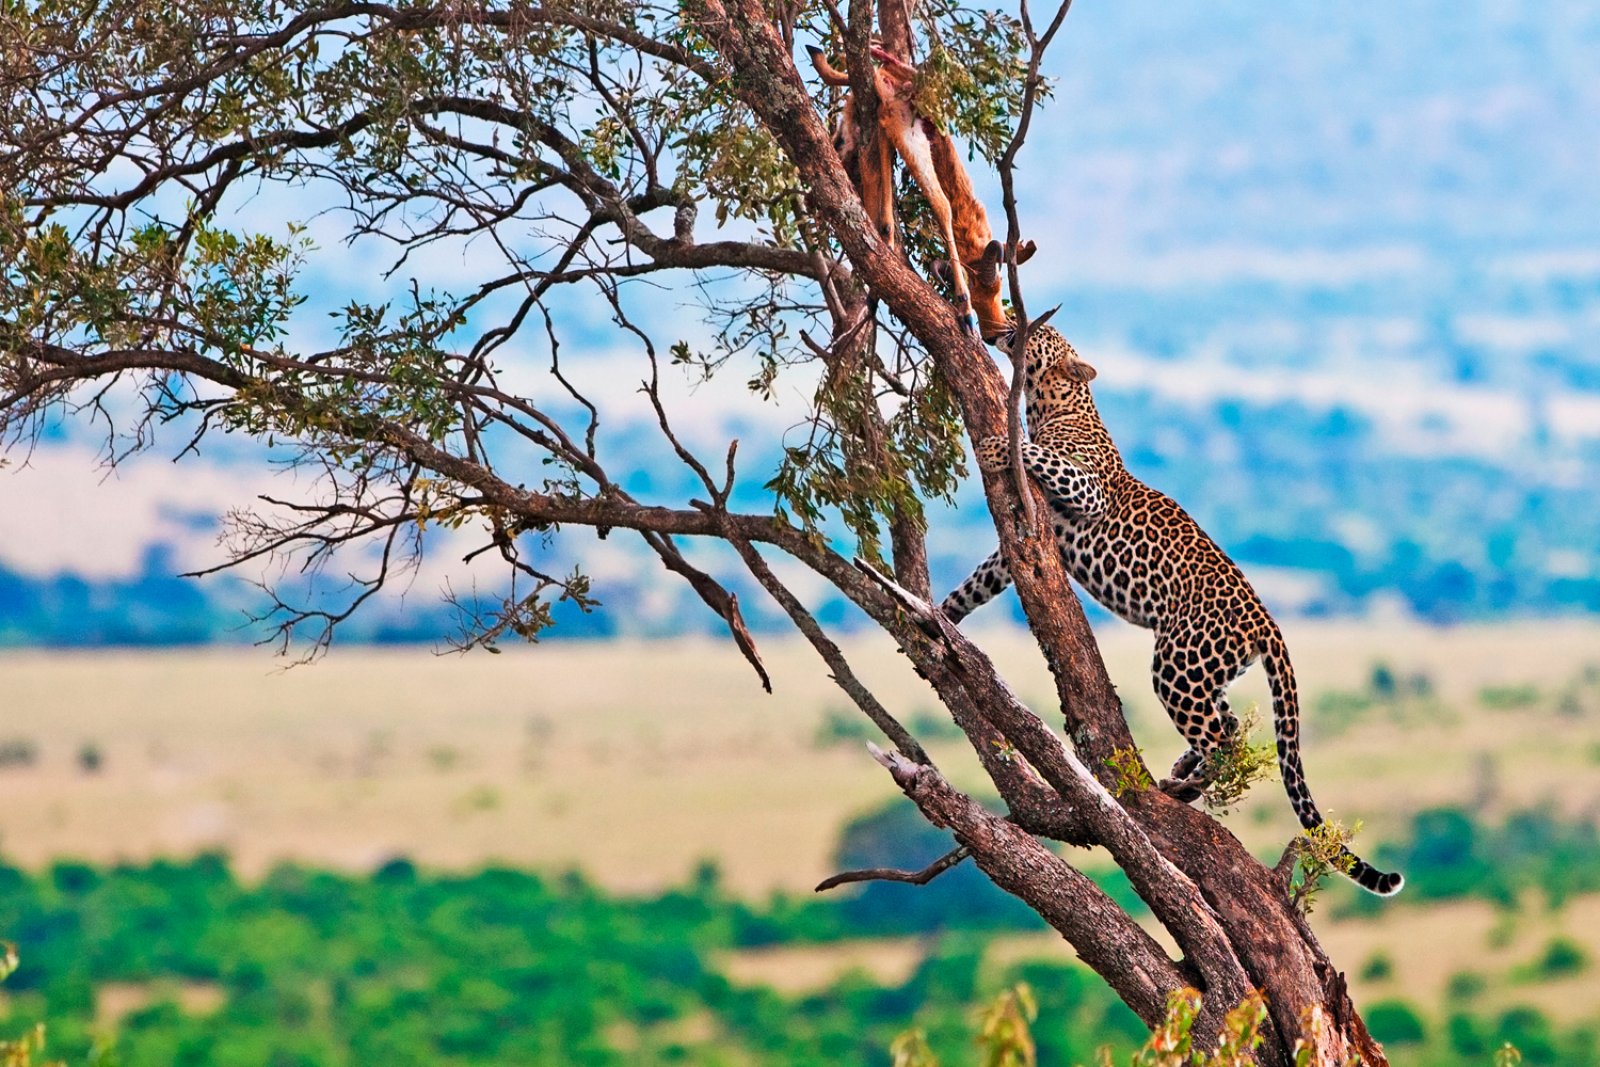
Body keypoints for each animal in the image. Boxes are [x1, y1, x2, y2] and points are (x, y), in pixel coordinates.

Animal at [940, 321, 1408, 895]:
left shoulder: (1086, 490)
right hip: (1206, 671)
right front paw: (940, 616)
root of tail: (1267, 621)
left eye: (1044, 331)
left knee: (1226, 743)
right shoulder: (1024, 539)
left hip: (1178, 664)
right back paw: (1184, 769)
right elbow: (977, 583)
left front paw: (994, 445)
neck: (1046, 404)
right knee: (1228, 723)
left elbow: (1039, 457)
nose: (1006, 318)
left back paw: (1183, 786)